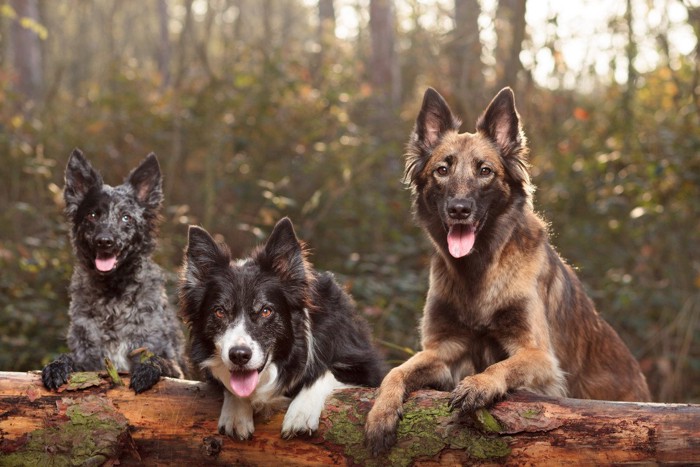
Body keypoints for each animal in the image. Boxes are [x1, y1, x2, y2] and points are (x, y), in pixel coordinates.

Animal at [41, 150, 189, 394]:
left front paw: (147, 370)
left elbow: (157, 359)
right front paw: (56, 366)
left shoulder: (175, 369)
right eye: (92, 215)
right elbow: (69, 357)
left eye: (126, 217)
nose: (104, 241)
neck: (113, 294)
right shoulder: (90, 359)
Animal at [366, 86, 652, 456]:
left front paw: (479, 384)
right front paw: (381, 413)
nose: (459, 209)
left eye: (485, 171)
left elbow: (501, 364)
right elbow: (396, 371)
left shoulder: (541, 358)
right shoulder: (442, 351)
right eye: (442, 170)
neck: (478, 271)